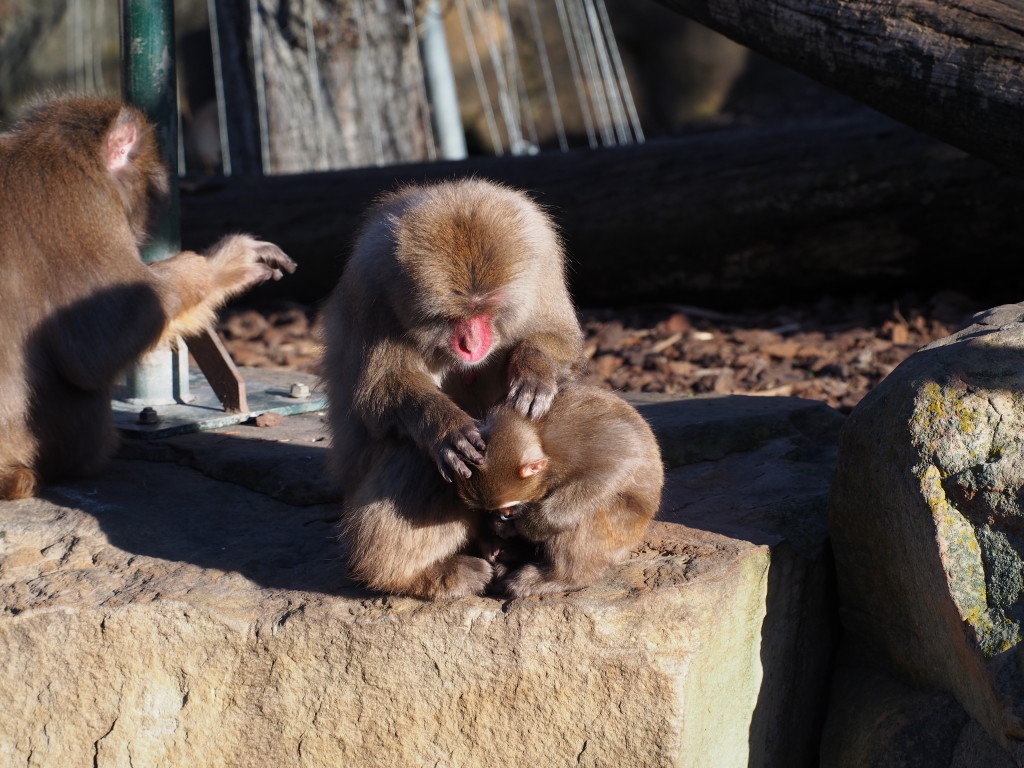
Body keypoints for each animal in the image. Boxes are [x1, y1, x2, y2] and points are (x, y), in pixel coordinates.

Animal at [325, 180, 585, 602]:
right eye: (452, 315)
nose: (471, 345)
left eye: (485, 310)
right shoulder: (373, 285)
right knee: (413, 455)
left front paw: (534, 369)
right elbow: (379, 390)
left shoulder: (542, 260)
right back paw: (408, 575)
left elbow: (558, 338)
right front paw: (445, 429)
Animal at [456, 387, 663, 598]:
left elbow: (615, 468)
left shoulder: (574, 443)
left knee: (585, 515)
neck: (537, 433)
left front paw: (534, 523)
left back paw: (560, 578)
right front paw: (498, 530)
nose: (503, 514)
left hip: (622, 532)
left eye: (508, 506)